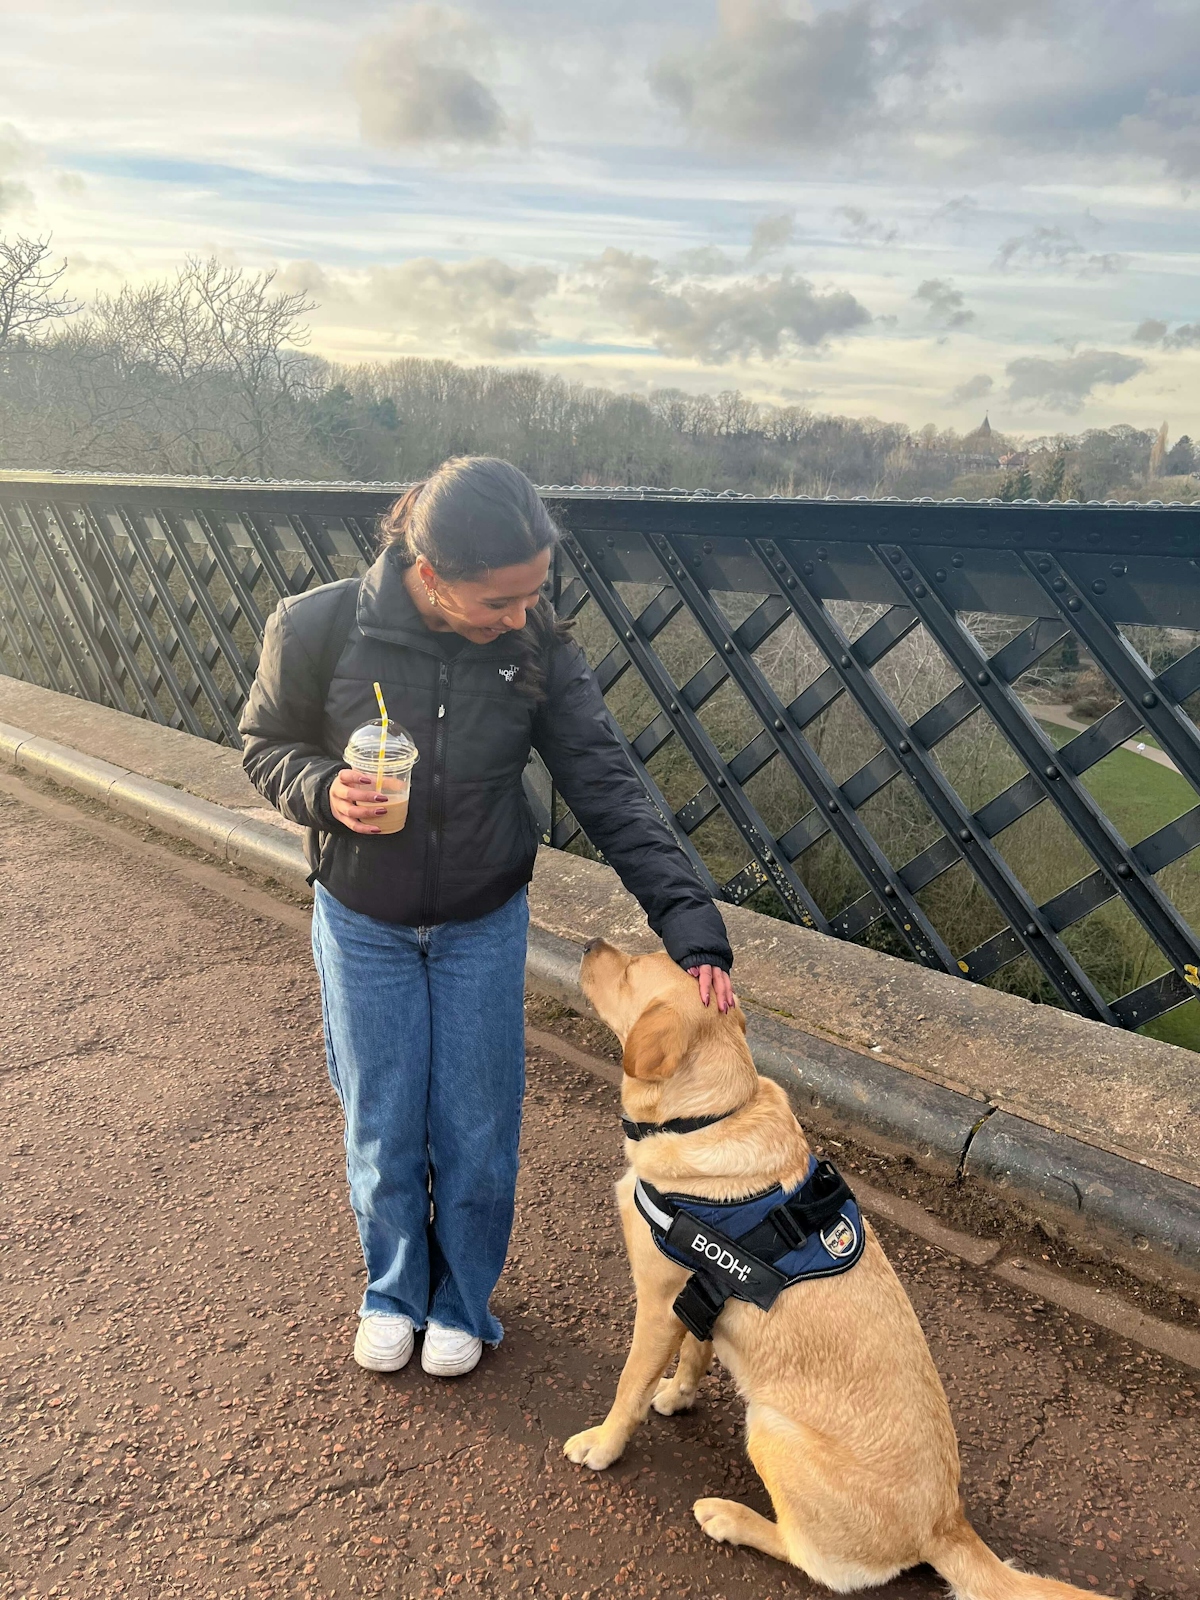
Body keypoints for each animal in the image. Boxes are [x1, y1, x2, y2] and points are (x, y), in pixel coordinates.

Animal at [563, 934, 1120, 1600]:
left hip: (771, 1429)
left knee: (813, 1559)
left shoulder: (657, 1301)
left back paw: (730, 1516)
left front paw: (603, 1444)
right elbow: (695, 1353)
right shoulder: (696, 1295)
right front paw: (677, 1394)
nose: (591, 943)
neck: (712, 1115)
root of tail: (945, 1525)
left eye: (631, 966)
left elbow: (629, 1386)